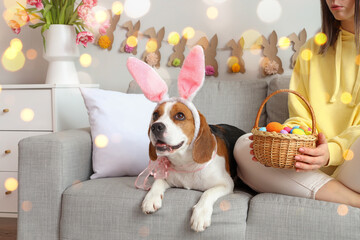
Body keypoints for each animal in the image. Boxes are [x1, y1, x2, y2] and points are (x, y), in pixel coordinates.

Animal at [128, 45, 246, 232]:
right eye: (155, 115)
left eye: (180, 116)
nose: (156, 126)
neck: (186, 163)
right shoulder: (168, 178)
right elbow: (157, 182)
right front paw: (151, 198)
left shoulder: (225, 184)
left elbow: (208, 192)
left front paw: (200, 214)